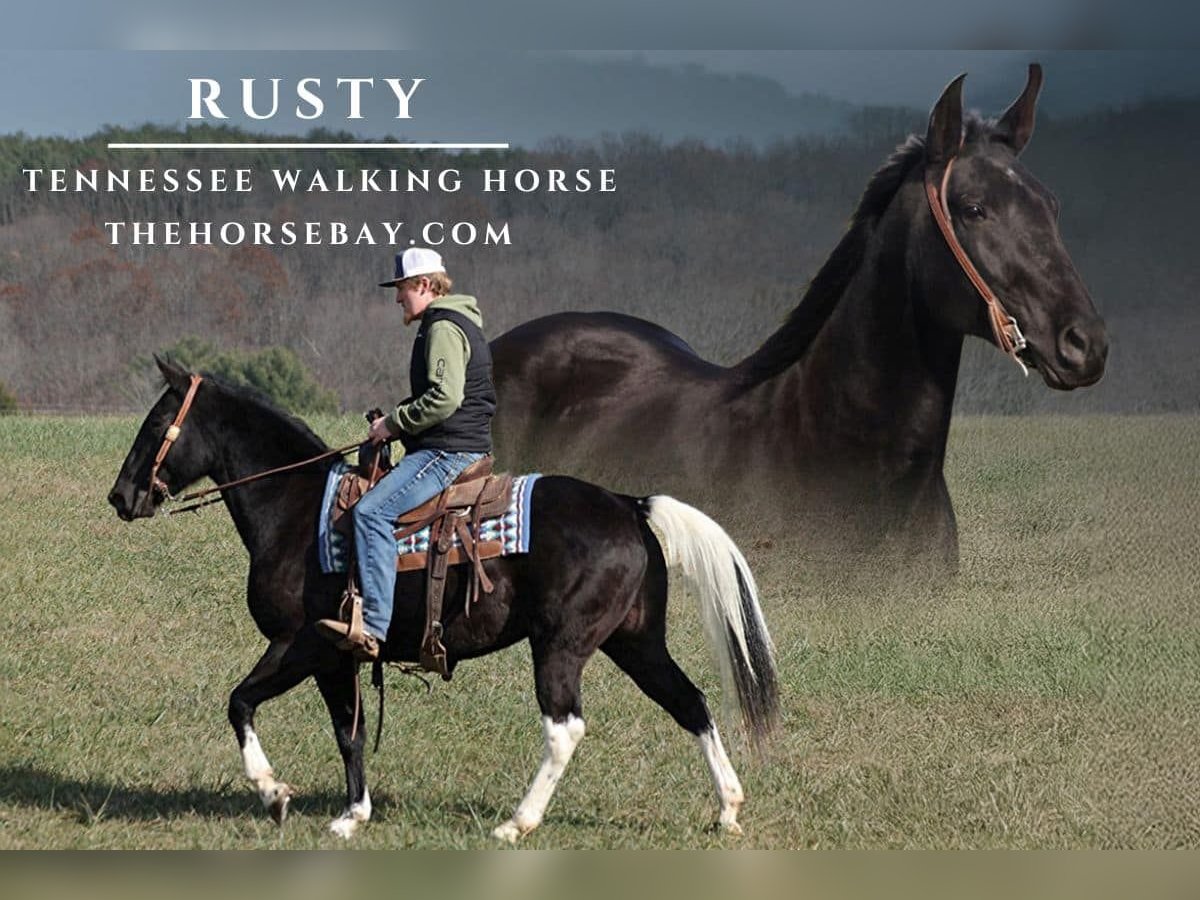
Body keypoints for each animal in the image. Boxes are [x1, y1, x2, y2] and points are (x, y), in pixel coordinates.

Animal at [105, 357, 777, 844]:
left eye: (154, 425)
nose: (120, 496)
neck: (298, 512)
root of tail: (629, 504)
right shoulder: (339, 658)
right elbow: (348, 732)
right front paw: (353, 814)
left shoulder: (304, 644)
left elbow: (241, 703)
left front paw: (274, 795)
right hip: (635, 642)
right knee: (690, 704)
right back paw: (728, 809)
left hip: (561, 646)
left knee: (565, 728)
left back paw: (516, 823)